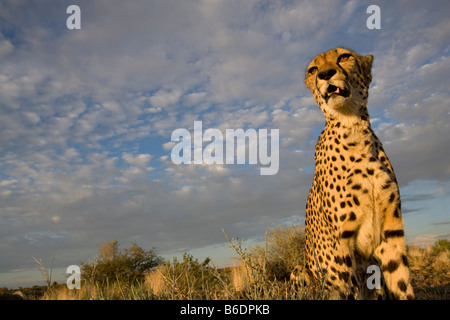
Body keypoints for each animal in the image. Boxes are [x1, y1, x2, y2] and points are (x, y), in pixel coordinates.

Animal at [302, 47, 414, 300]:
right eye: (313, 69)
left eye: (344, 57)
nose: (325, 74)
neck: (352, 127)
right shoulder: (342, 242)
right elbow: (351, 288)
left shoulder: (391, 231)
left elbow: (402, 283)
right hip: (302, 270)